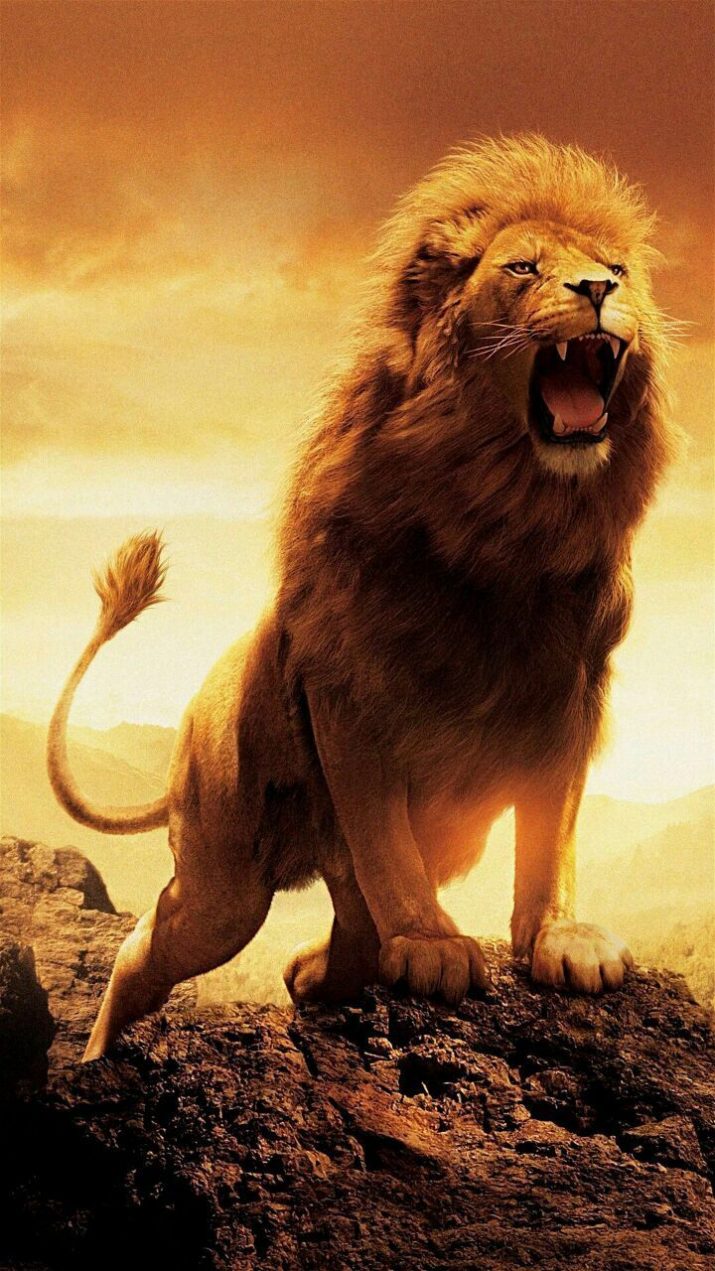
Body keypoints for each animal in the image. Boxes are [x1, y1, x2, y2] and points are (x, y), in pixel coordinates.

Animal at [48, 135, 676, 1060]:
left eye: (618, 269)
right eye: (523, 267)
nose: (595, 291)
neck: (507, 520)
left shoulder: (569, 691)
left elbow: (549, 831)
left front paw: (559, 937)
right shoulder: (350, 689)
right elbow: (384, 839)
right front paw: (430, 942)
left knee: (334, 933)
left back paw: (316, 974)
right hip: (222, 878)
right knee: (150, 945)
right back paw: (97, 1060)